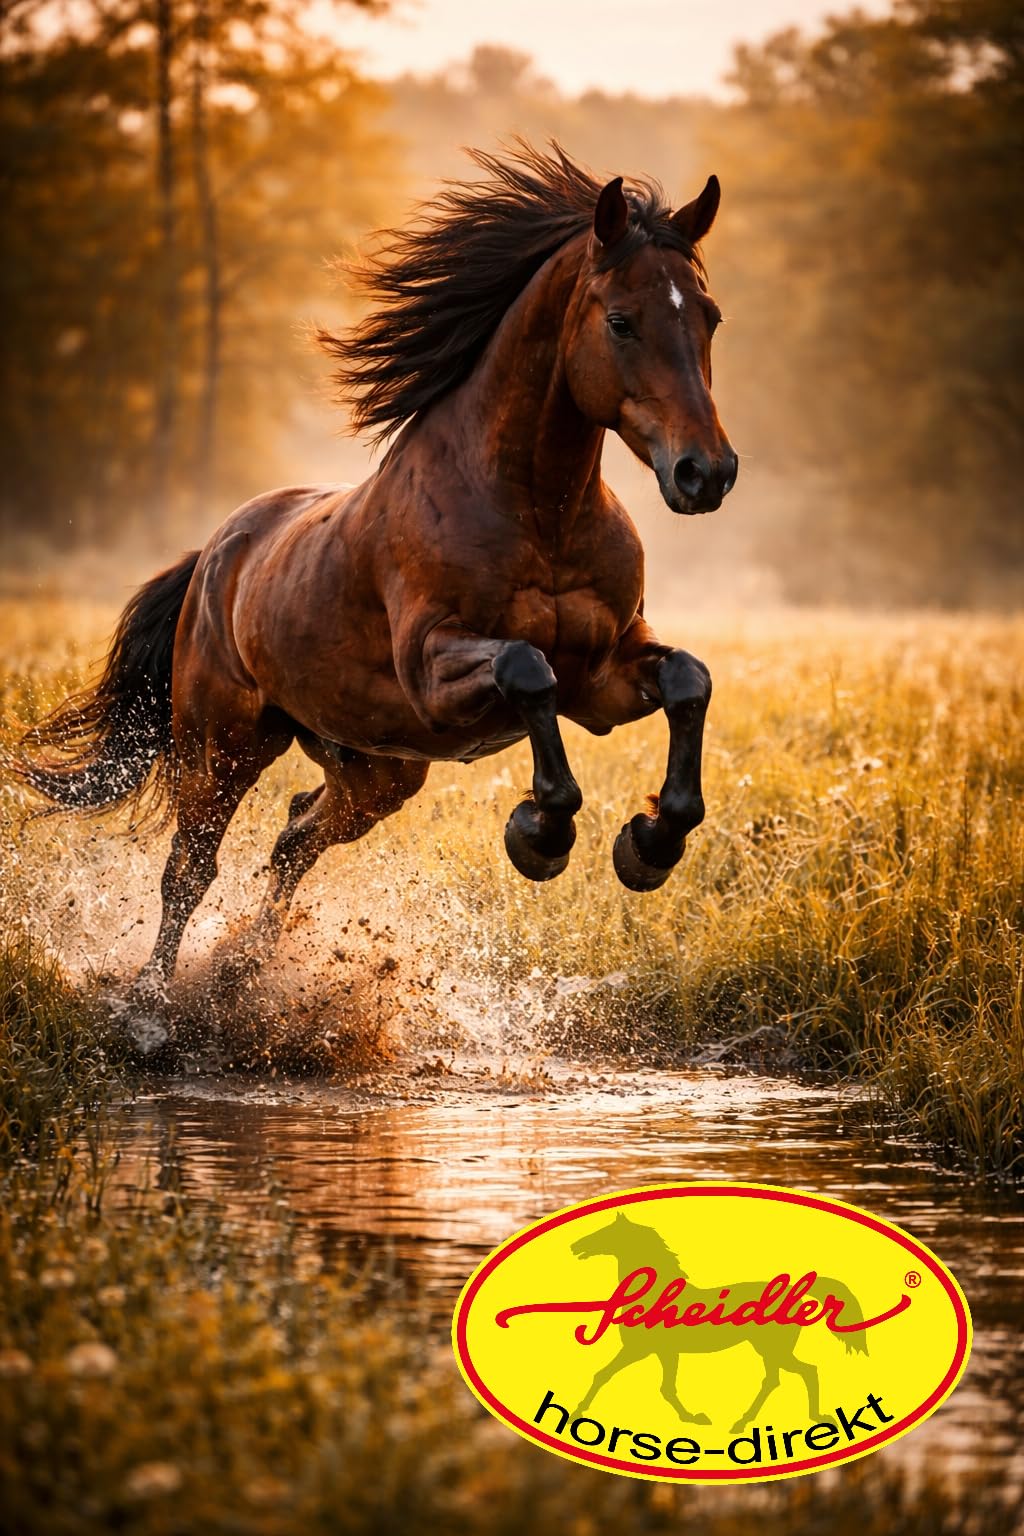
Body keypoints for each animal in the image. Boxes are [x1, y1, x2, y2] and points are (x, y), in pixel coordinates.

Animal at [13, 143, 738, 997]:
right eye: (621, 321)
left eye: (709, 317)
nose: (706, 473)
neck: (539, 514)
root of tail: (216, 555)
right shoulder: (437, 674)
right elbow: (528, 670)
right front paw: (539, 833)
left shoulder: (601, 677)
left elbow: (688, 678)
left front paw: (649, 843)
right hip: (223, 744)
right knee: (189, 870)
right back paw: (154, 1001)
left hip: (375, 771)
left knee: (295, 833)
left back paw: (245, 970)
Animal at [570, 1213, 868, 1431]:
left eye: (605, 1232)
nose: (574, 1246)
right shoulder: (663, 1352)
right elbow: (663, 1388)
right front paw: (695, 1418)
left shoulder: (641, 1349)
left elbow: (606, 1376)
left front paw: (575, 1413)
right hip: (771, 1350)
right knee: (780, 1378)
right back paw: (747, 1422)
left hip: (773, 1349)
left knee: (802, 1372)